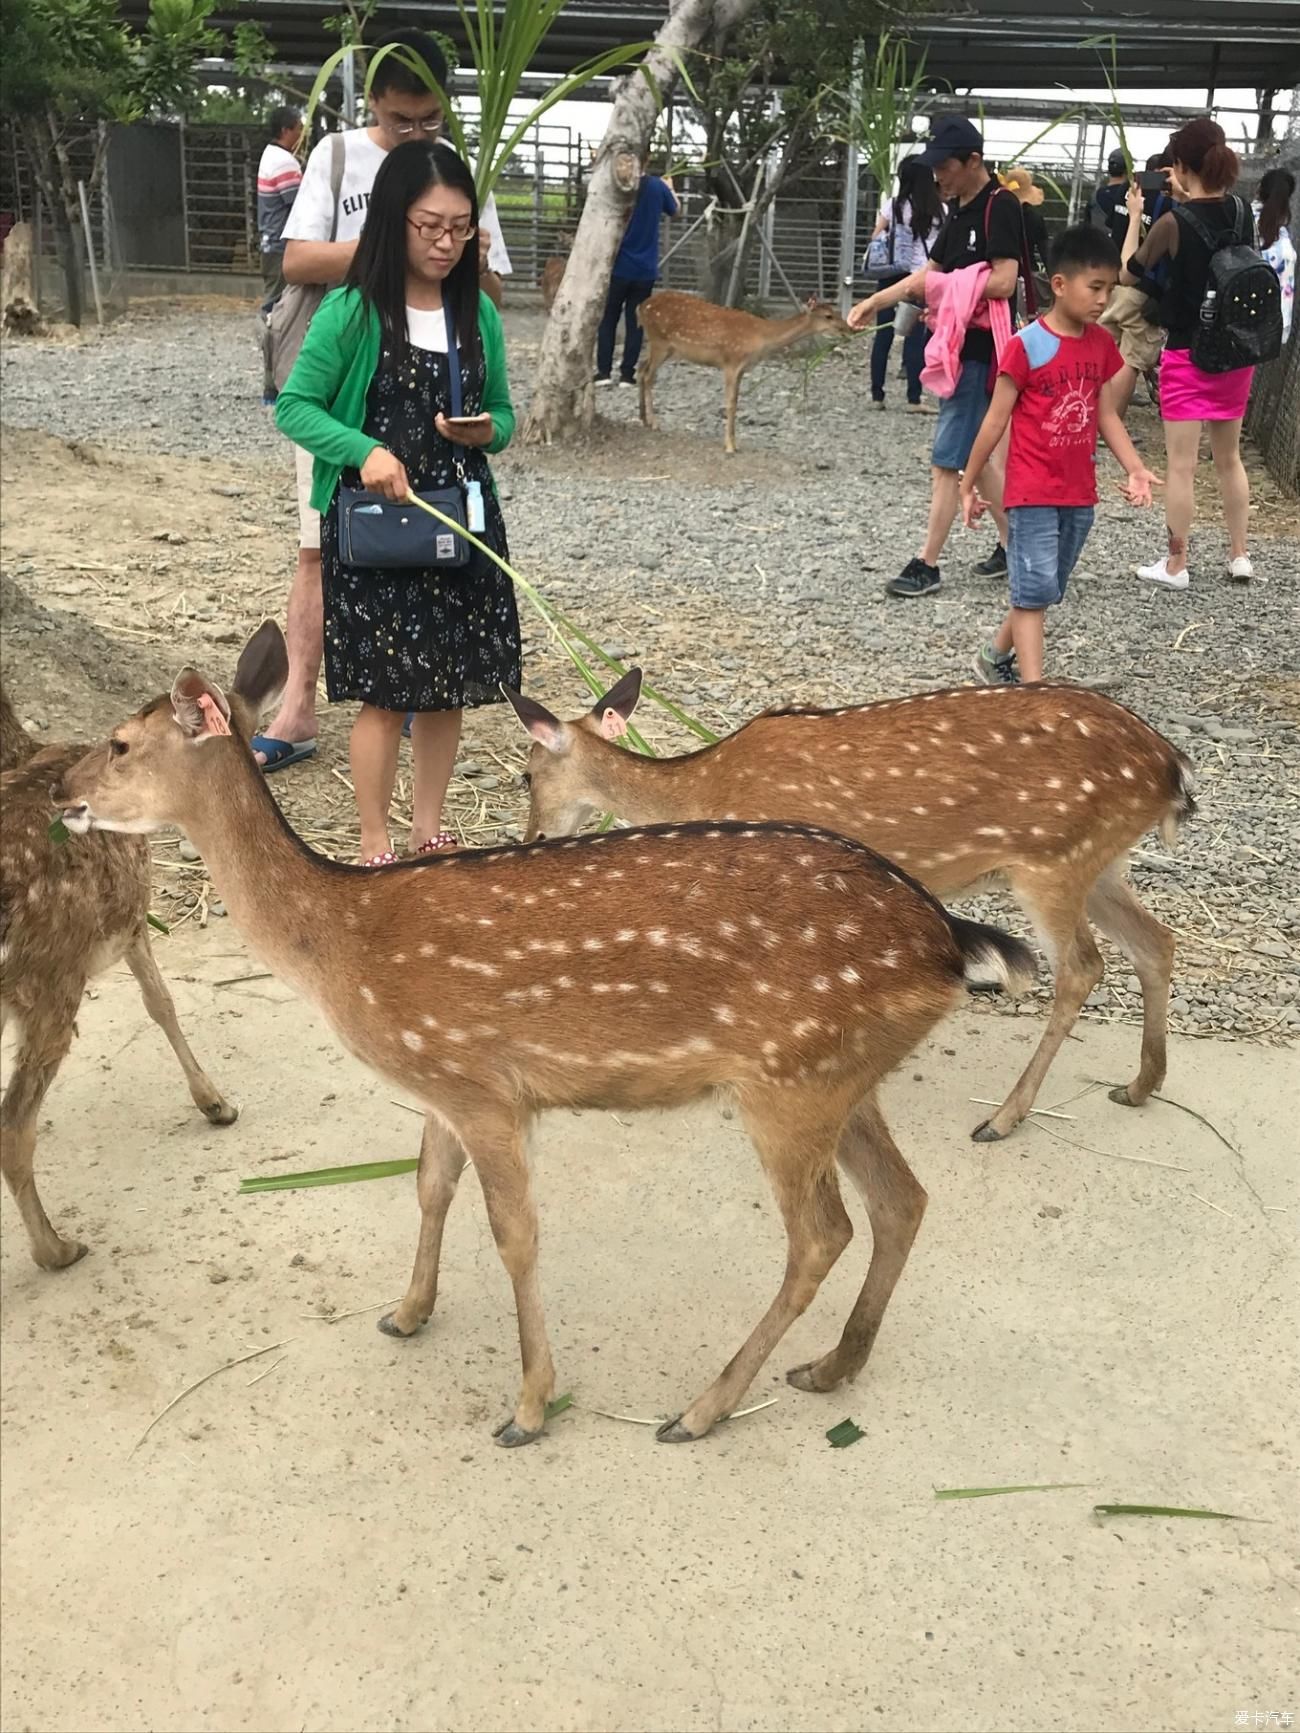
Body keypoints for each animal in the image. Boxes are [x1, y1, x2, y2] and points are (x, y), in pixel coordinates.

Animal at [1, 679, 234, 1275]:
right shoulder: (133, 915)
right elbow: (162, 1003)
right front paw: (216, 1103)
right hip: (51, 980)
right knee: (12, 1125)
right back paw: (56, 1249)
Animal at [509, 668, 1199, 1143]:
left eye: (526, 773)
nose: (531, 838)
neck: (705, 790)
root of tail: (1172, 768)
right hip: (1102, 860)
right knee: (1156, 941)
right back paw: (1140, 1087)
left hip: (1052, 861)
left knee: (1083, 967)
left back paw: (1002, 1119)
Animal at [637, 292, 849, 457]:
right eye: (828, 316)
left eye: (837, 312)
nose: (848, 329)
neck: (761, 337)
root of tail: (641, 307)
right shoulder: (731, 362)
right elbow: (730, 404)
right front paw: (729, 447)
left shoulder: (742, 369)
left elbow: (737, 403)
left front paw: (735, 443)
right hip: (659, 341)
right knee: (648, 376)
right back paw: (654, 423)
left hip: (664, 348)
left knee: (641, 368)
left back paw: (644, 419)